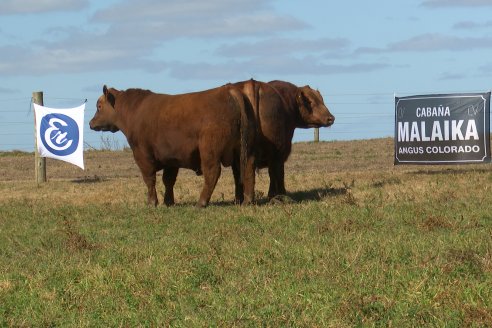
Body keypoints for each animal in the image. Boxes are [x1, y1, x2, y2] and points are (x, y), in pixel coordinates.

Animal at [90, 84, 256, 208]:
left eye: (99, 106)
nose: (91, 123)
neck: (134, 110)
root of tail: (228, 90)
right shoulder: (171, 158)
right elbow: (168, 180)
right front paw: (168, 202)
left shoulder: (142, 155)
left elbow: (149, 179)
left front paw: (152, 202)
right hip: (245, 149)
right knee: (247, 169)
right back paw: (247, 201)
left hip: (209, 150)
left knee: (212, 173)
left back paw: (201, 203)